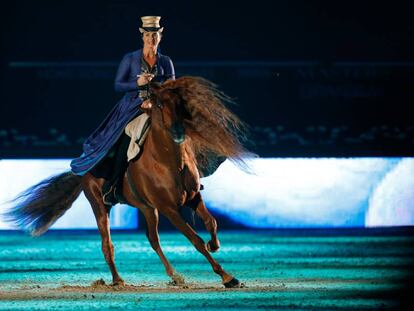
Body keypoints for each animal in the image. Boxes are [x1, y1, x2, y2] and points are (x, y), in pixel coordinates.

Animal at [3, 76, 252, 290]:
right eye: (159, 104)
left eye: (181, 103)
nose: (178, 131)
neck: (168, 161)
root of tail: (83, 169)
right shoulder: (169, 209)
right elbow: (195, 239)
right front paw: (227, 277)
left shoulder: (192, 198)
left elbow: (211, 223)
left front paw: (215, 246)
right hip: (101, 205)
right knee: (108, 244)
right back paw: (117, 280)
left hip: (147, 208)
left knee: (152, 239)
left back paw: (174, 276)